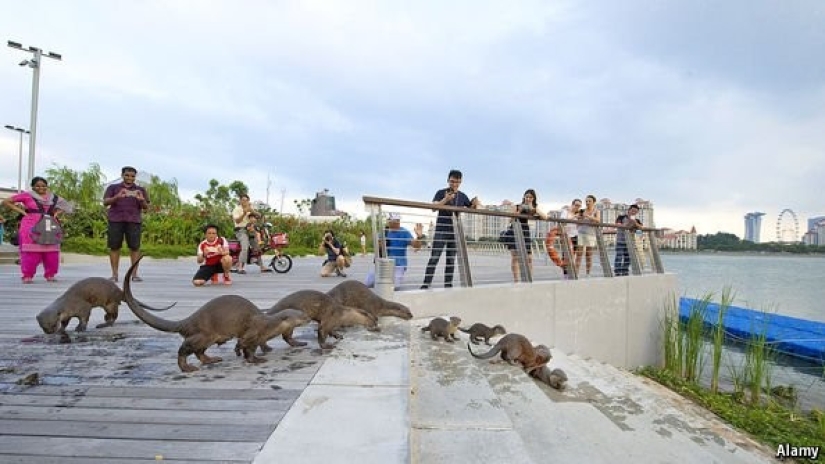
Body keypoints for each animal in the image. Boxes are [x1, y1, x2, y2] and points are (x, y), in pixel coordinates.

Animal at [36, 277, 175, 339]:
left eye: (53, 324)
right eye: (43, 326)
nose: (49, 332)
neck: (67, 303)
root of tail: (120, 291)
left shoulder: (83, 307)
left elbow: (84, 317)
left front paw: (80, 328)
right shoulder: (66, 315)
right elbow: (65, 322)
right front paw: (61, 330)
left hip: (110, 303)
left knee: (114, 317)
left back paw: (102, 325)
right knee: (110, 316)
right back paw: (104, 321)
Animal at [123, 257, 312, 372]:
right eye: (302, 316)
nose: (309, 318)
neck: (269, 326)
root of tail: (189, 320)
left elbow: (246, 349)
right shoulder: (252, 334)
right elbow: (246, 347)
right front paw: (255, 359)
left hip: (209, 338)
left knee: (199, 352)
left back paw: (211, 360)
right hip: (202, 334)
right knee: (185, 348)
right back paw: (187, 368)